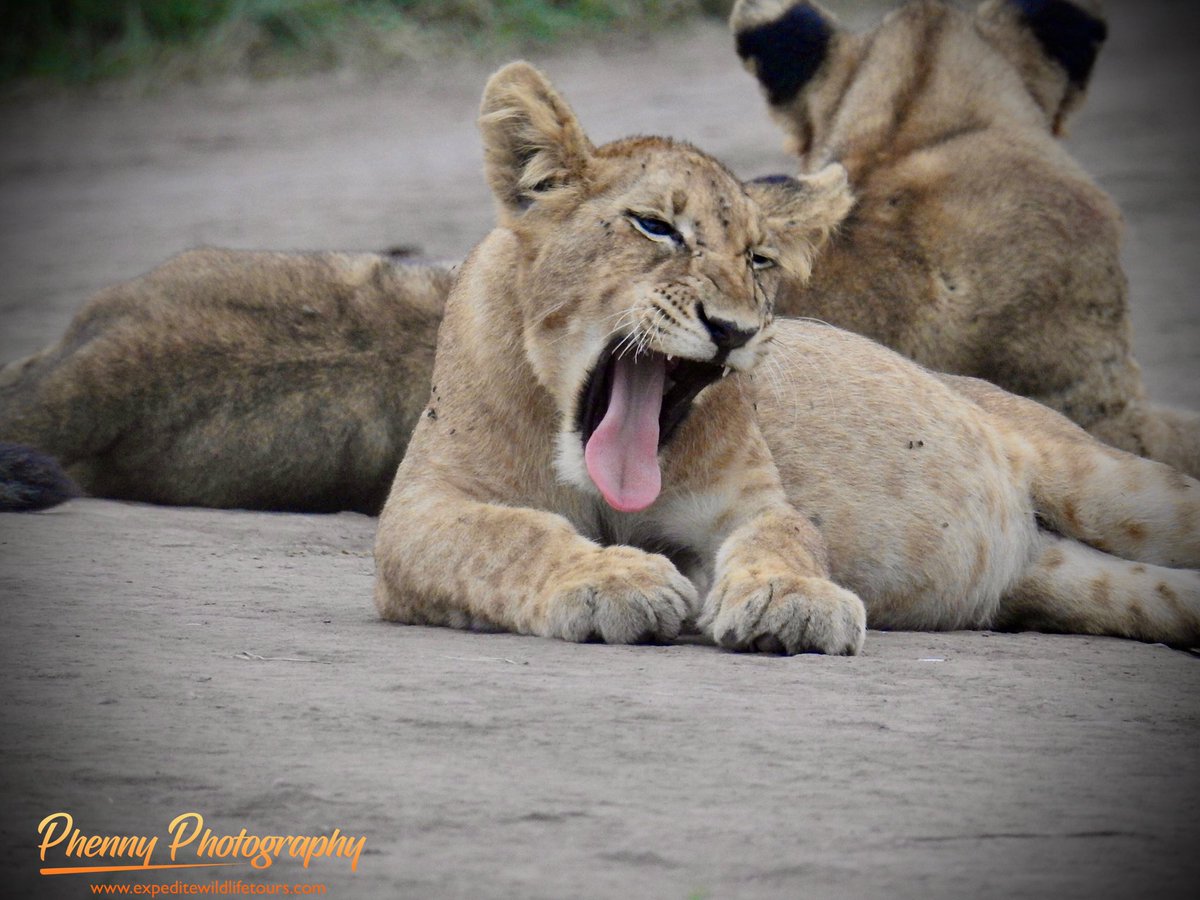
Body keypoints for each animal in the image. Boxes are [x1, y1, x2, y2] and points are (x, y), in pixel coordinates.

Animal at [373, 61, 1200, 655]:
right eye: (654, 226)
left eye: (758, 258)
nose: (734, 329)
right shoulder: (417, 512)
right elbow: (509, 536)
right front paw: (612, 578)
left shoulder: (753, 501)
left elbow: (784, 535)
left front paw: (792, 603)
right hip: (1072, 581)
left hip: (1111, 486)